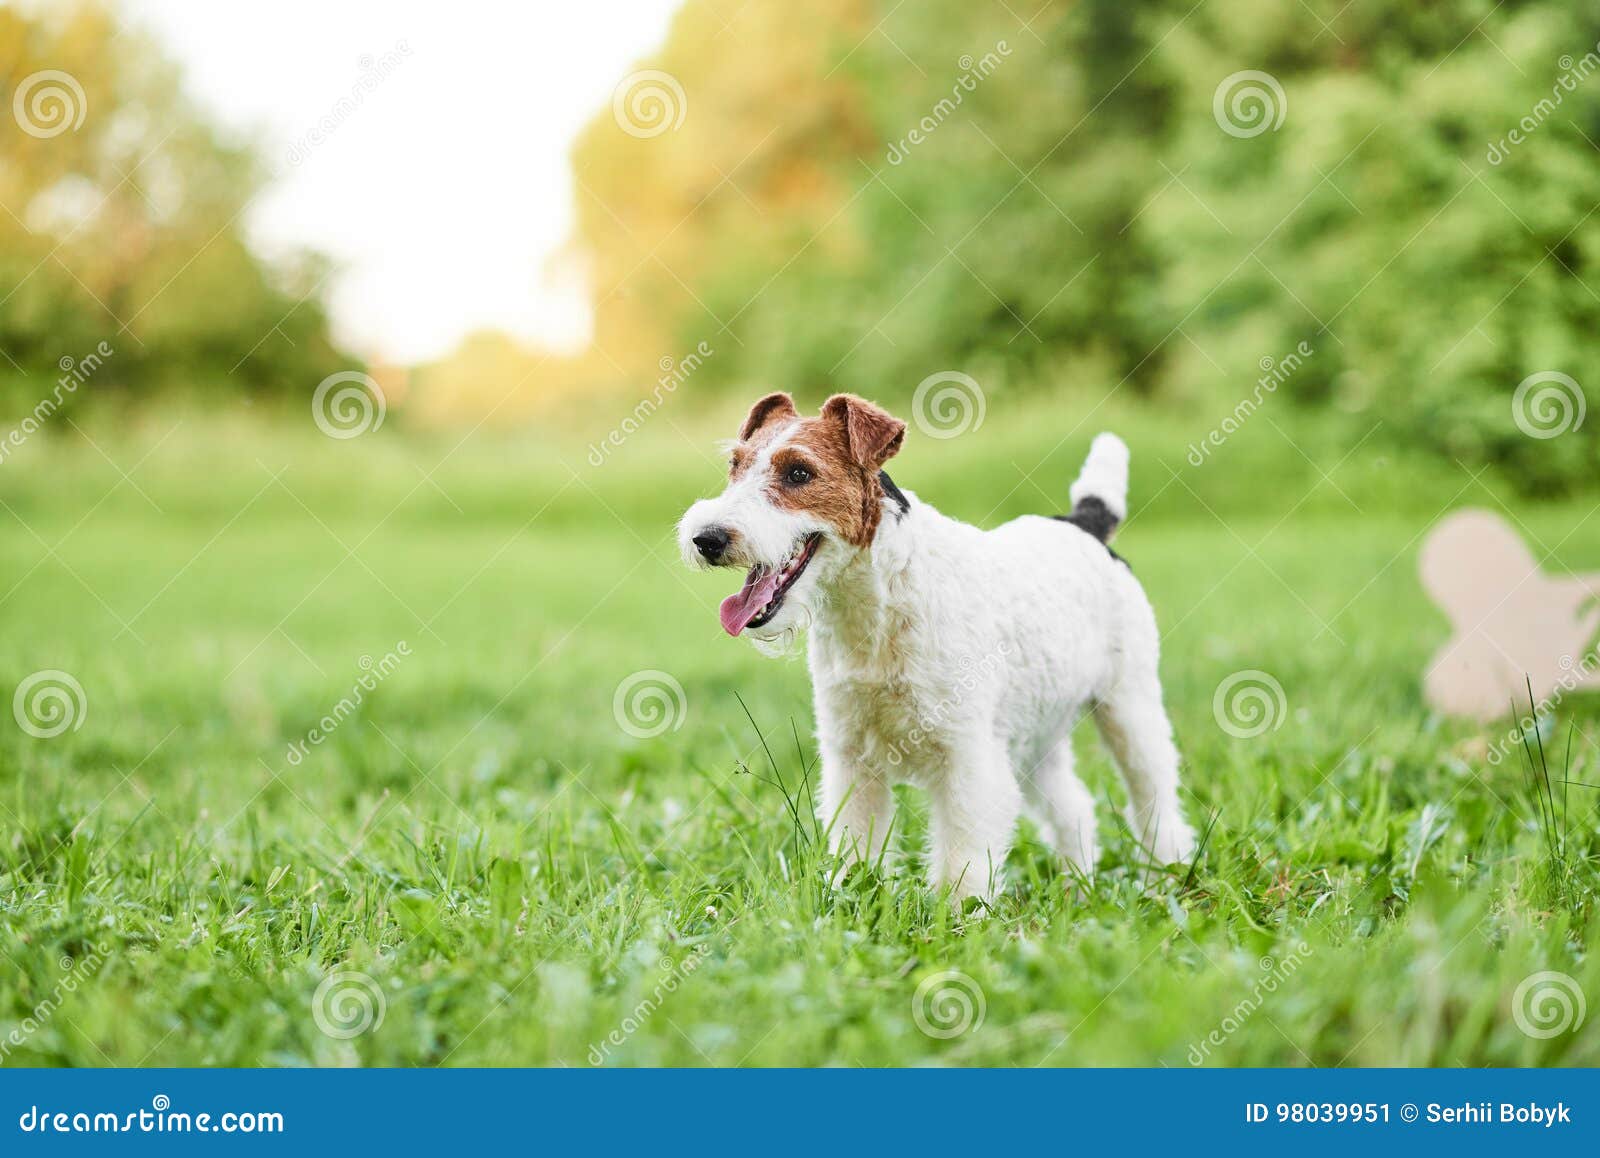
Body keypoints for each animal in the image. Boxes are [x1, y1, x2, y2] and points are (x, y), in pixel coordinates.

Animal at [681, 393, 1196, 902]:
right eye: (735, 465)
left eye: (799, 473)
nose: (707, 538)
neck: (877, 606)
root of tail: (1084, 524)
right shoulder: (851, 756)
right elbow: (857, 842)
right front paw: (853, 898)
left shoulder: (965, 756)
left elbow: (963, 857)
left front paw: (960, 912)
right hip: (1035, 732)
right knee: (1075, 808)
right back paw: (1078, 885)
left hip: (1129, 708)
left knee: (1155, 801)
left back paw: (1165, 877)